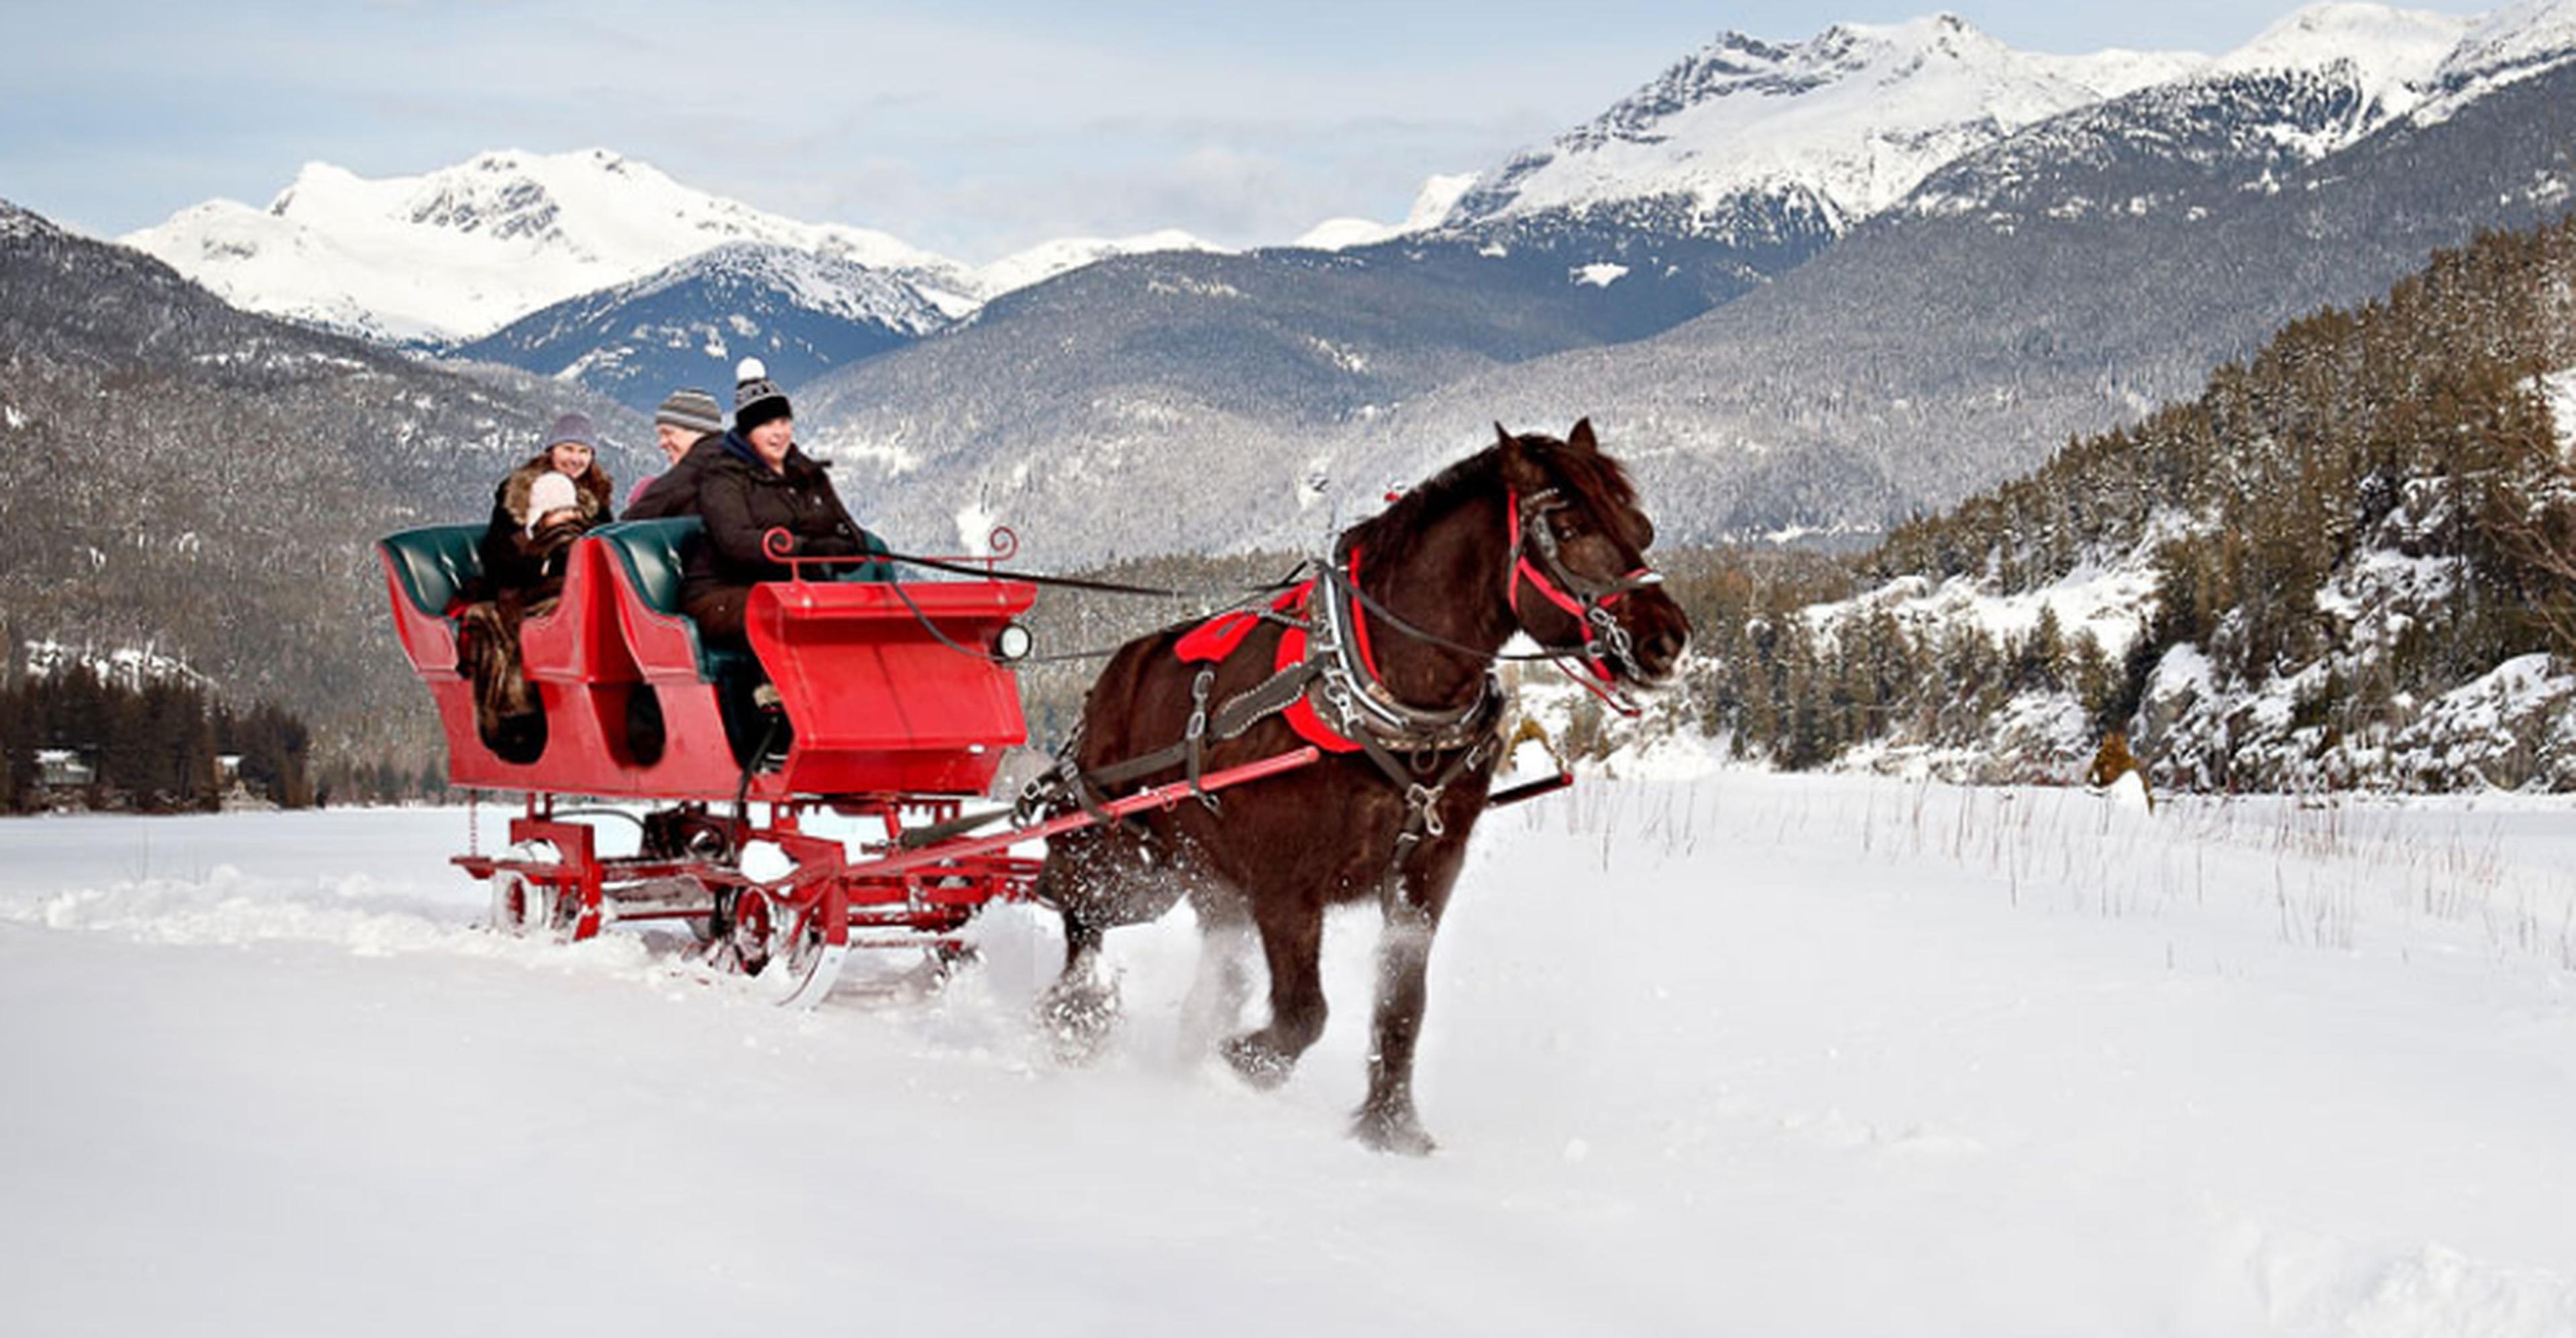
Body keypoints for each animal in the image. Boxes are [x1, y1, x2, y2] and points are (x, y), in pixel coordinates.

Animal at [1025, 417, 1690, 1149]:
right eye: (1569, 527)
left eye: (1641, 526)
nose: (1667, 642)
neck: (1381, 693)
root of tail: (1114, 674)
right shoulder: (1285, 883)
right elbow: (1304, 1012)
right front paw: (1246, 1060)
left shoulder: (1424, 876)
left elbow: (1402, 1008)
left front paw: (1392, 1128)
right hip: (1126, 863)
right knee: (1079, 908)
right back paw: (1076, 1014)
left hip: (1199, 875)